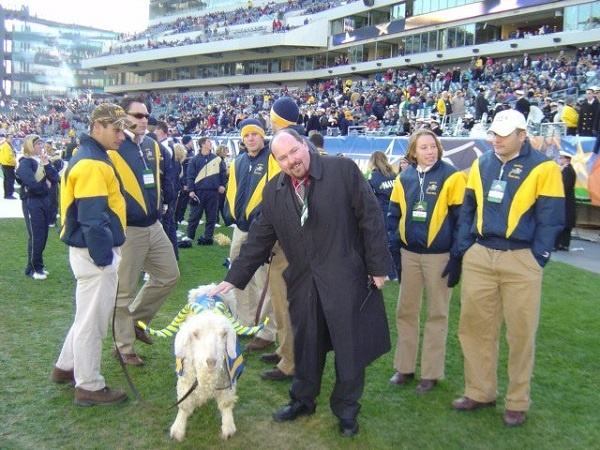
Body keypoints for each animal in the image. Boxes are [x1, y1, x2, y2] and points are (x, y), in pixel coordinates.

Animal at [169, 308, 239, 442]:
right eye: (195, 334)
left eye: (224, 333)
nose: (211, 362)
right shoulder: (186, 380)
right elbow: (184, 405)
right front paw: (178, 429)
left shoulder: (227, 380)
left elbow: (226, 403)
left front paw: (228, 428)